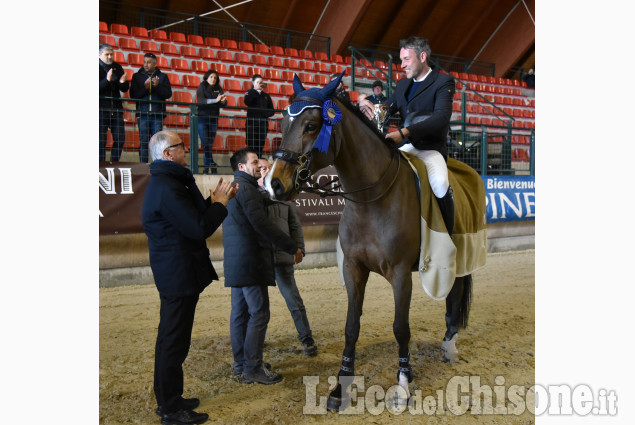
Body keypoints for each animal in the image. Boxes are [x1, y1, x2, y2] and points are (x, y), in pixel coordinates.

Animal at [264, 74, 472, 410]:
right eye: (283, 123)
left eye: (312, 125)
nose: (274, 184)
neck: (371, 200)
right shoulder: (354, 269)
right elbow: (351, 327)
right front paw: (340, 387)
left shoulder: (400, 274)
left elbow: (401, 328)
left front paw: (402, 386)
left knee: (455, 295)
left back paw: (450, 346)